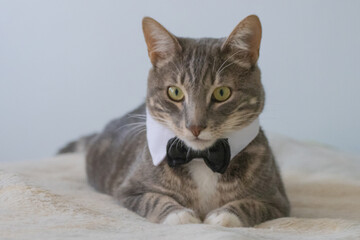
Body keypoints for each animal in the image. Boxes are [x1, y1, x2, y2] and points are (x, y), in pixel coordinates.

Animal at [59, 15, 290, 227]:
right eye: (175, 92)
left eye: (222, 92)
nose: (195, 126)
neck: (201, 158)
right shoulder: (128, 190)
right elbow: (153, 199)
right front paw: (179, 215)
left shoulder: (278, 200)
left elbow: (252, 204)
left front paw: (223, 215)